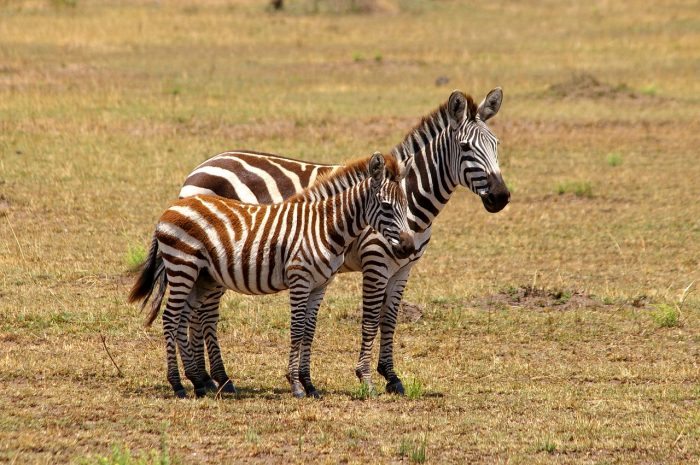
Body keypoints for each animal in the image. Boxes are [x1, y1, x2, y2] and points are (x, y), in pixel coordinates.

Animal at [129, 152, 415, 398]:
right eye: (387, 206)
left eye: (406, 205)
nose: (409, 247)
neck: (324, 225)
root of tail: (171, 208)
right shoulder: (300, 278)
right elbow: (297, 329)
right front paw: (296, 385)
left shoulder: (320, 284)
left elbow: (309, 331)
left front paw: (309, 384)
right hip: (183, 266)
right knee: (170, 318)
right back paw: (178, 385)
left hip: (200, 276)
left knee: (183, 319)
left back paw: (198, 383)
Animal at [182, 88, 509, 394]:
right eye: (465, 147)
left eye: (497, 145)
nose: (501, 197)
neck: (410, 199)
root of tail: (199, 168)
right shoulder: (376, 261)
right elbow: (371, 318)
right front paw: (365, 377)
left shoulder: (404, 268)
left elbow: (390, 320)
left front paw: (392, 376)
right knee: (204, 312)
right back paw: (216, 379)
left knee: (198, 310)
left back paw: (207, 379)